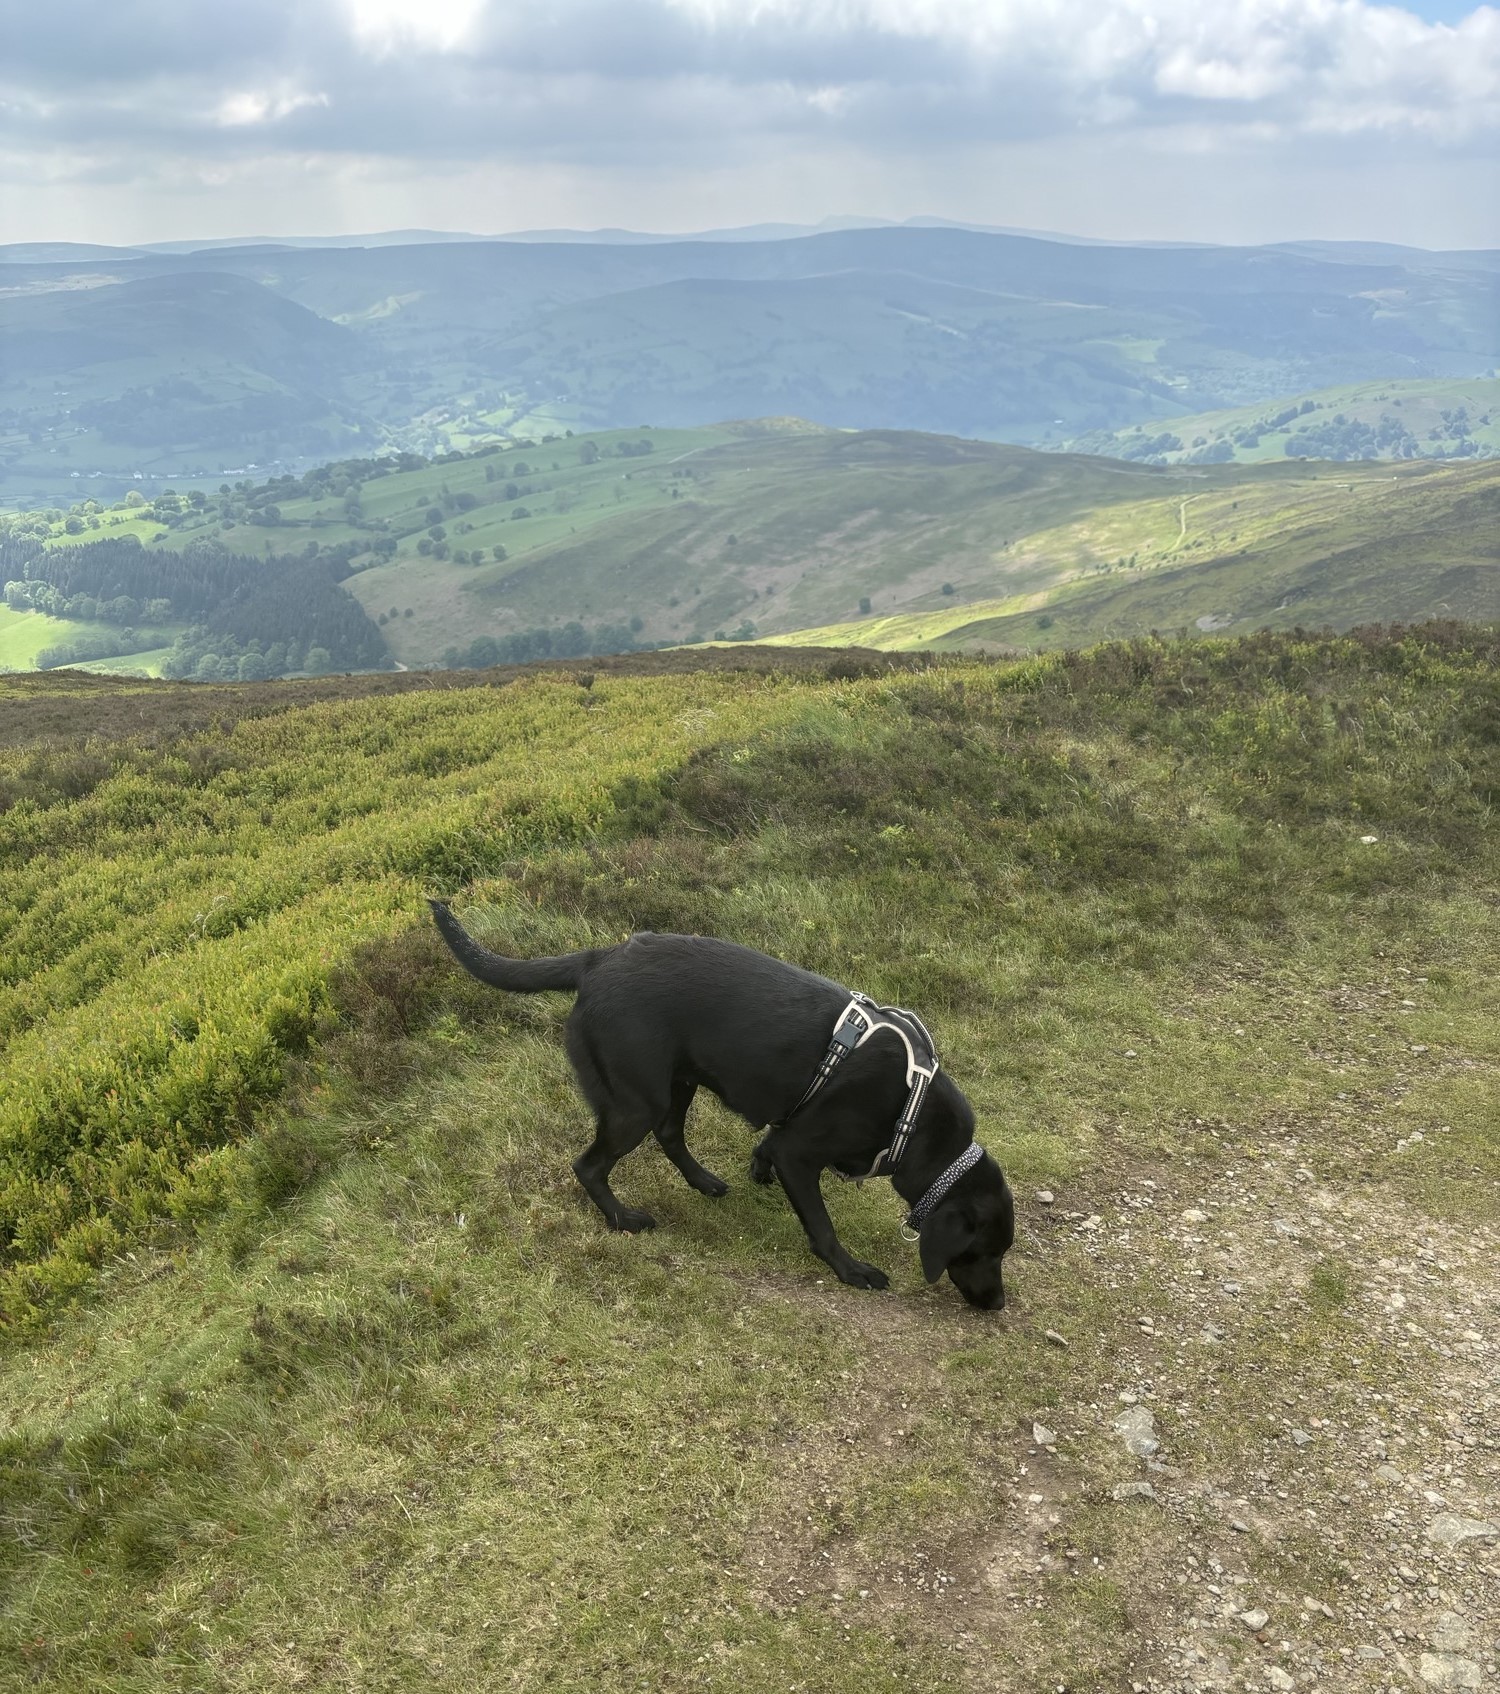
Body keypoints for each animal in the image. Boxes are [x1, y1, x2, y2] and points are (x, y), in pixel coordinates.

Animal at [433, 901, 1016, 1307]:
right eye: (984, 1252)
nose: (997, 1304)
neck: (912, 1116)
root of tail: (598, 960)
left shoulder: (786, 1135)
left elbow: (767, 1146)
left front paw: (756, 1170)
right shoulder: (800, 1154)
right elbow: (822, 1227)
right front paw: (852, 1270)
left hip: (679, 1081)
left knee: (670, 1135)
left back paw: (704, 1181)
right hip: (635, 1103)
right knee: (590, 1165)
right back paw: (622, 1218)